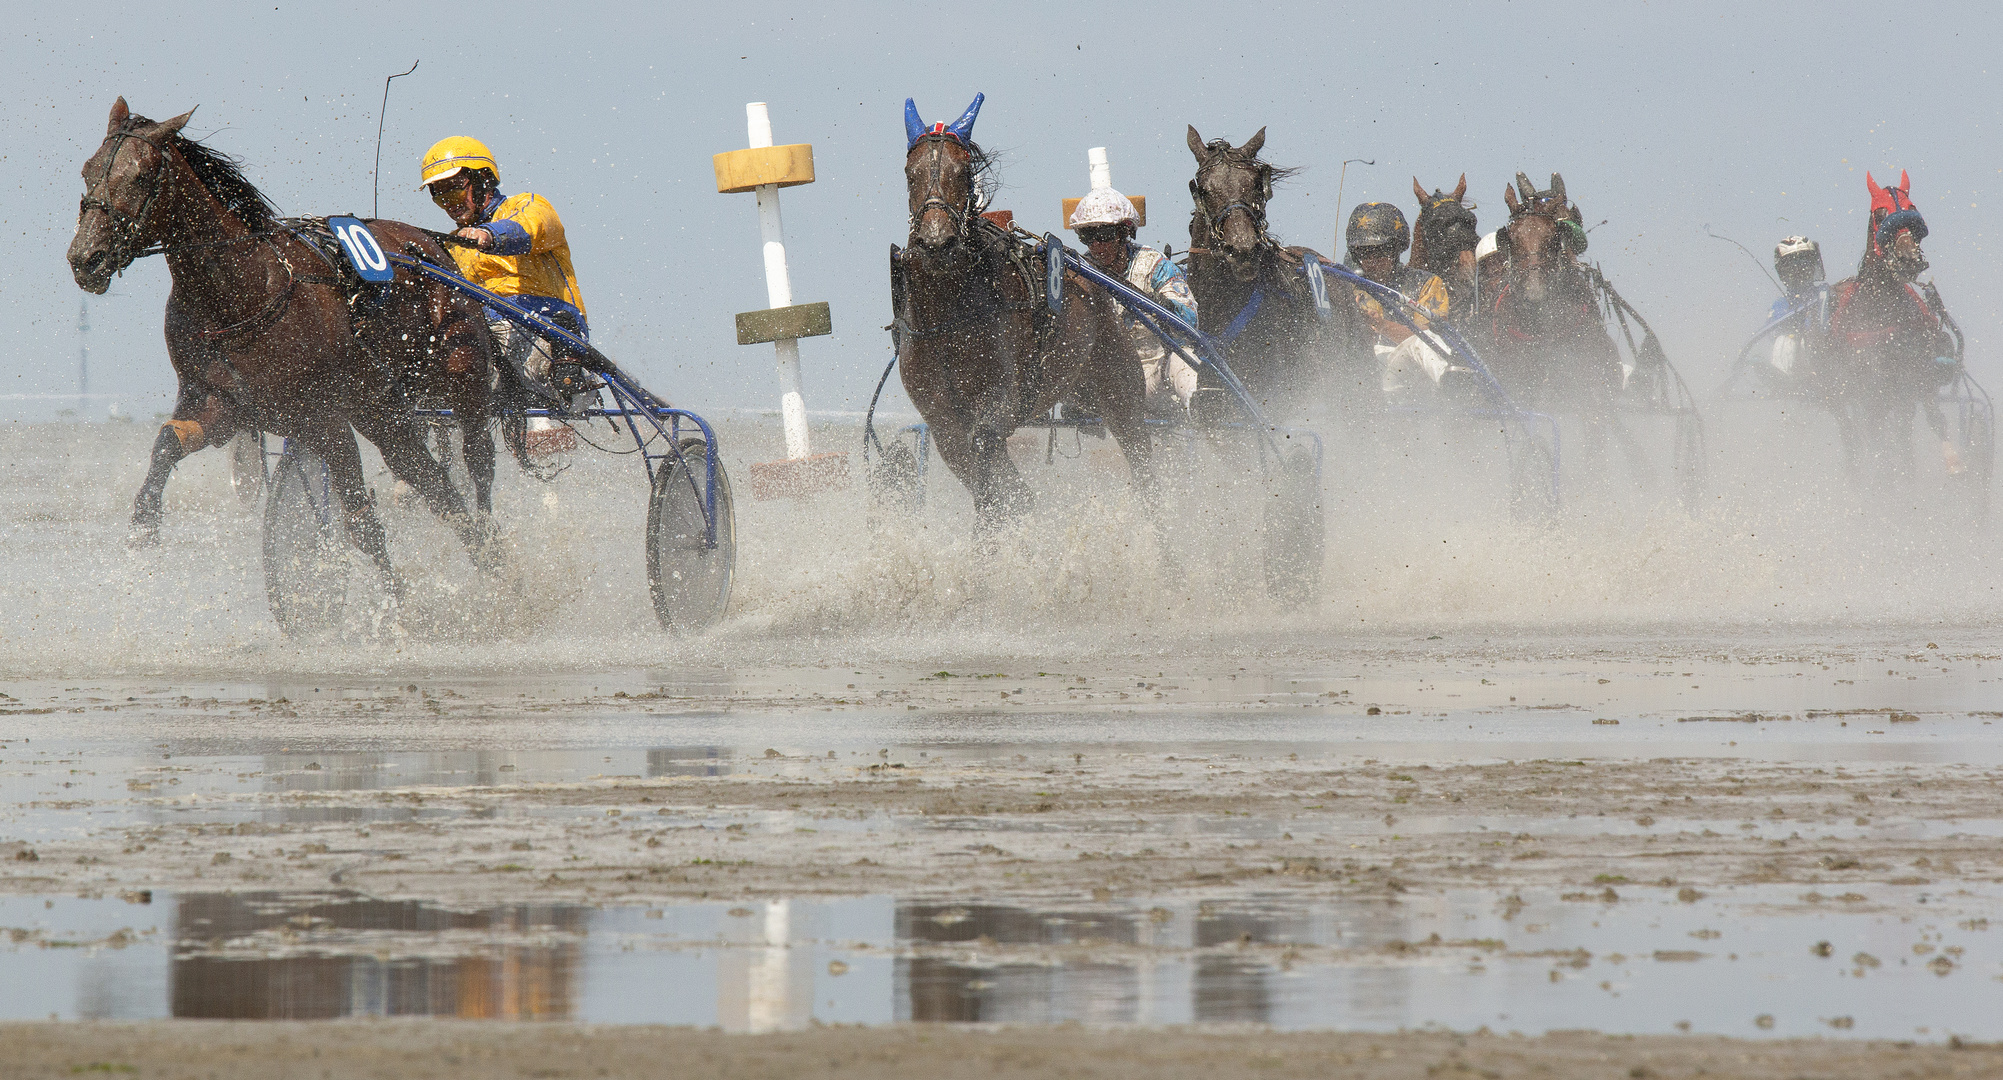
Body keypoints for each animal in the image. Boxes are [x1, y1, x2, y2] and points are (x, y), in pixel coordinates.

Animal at [68, 99, 498, 593]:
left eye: (140, 176)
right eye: (88, 170)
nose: (85, 258)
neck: (240, 292)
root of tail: (436, 249)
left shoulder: (324, 417)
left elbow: (362, 523)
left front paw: (394, 606)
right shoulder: (221, 402)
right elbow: (167, 442)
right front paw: (144, 521)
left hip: (462, 380)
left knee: (478, 465)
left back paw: (496, 555)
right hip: (382, 409)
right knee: (433, 484)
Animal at [897, 95, 1161, 528]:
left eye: (962, 172)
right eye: (910, 173)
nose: (937, 242)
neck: (950, 319)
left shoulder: (1005, 400)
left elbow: (988, 456)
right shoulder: (942, 421)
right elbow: (991, 481)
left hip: (1119, 388)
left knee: (1144, 470)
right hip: (1080, 389)